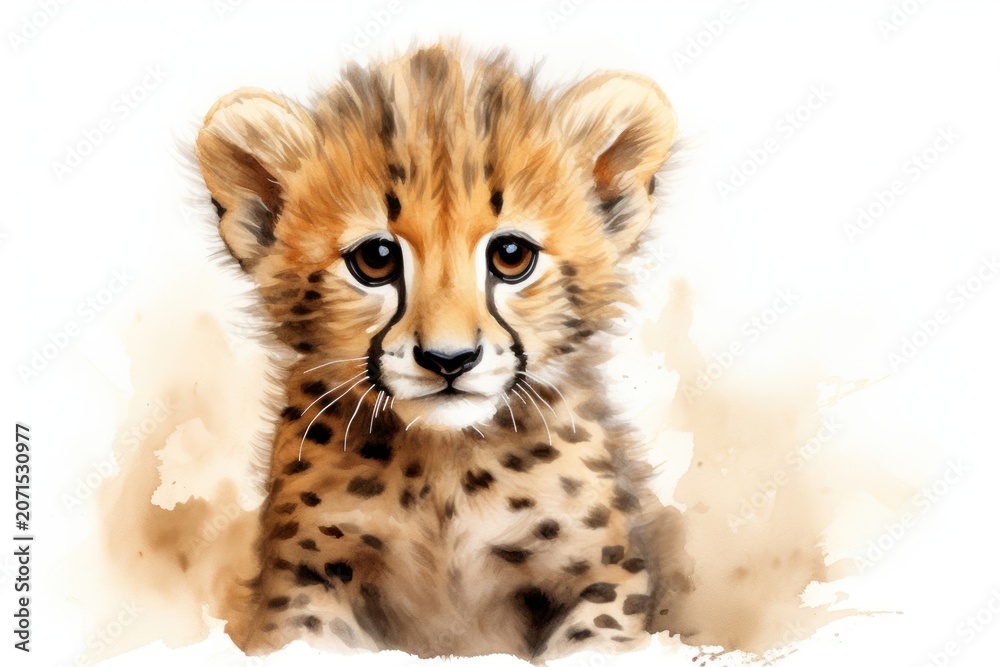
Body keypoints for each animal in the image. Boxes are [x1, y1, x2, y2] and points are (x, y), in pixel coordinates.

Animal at [194, 43, 679, 661]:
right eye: (375, 259)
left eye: (512, 256)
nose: (450, 360)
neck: (445, 471)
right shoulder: (308, 581)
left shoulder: (605, 577)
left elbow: (595, 637)